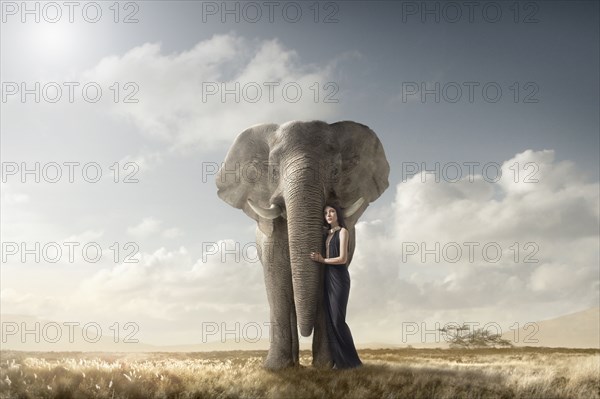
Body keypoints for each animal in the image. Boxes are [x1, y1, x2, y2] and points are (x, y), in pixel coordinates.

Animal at [216, 120, 390, 370]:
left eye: (335, 171)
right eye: (274, 172)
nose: (304, 332)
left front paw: (325, 367)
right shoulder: (270, 237)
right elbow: (277, 282)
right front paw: (275, 369)